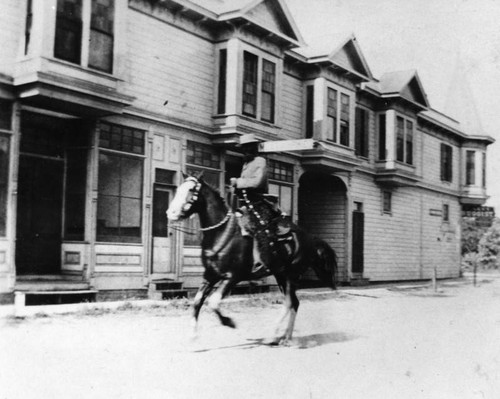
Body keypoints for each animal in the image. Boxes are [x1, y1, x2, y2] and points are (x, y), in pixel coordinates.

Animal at [166, 173, 338, 346]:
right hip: (280, 275)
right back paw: (286, 338)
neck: (222, 233)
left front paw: (229, 322)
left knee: (289, 303)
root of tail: (310, 239)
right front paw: (193, 336)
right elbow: (197, 302)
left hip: (291, 275)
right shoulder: (210, 276)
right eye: (179, 189)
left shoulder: (232, 277)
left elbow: (212, 302)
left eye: (190, 190)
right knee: (294, 303)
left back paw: (272, 335)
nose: (170, 213)